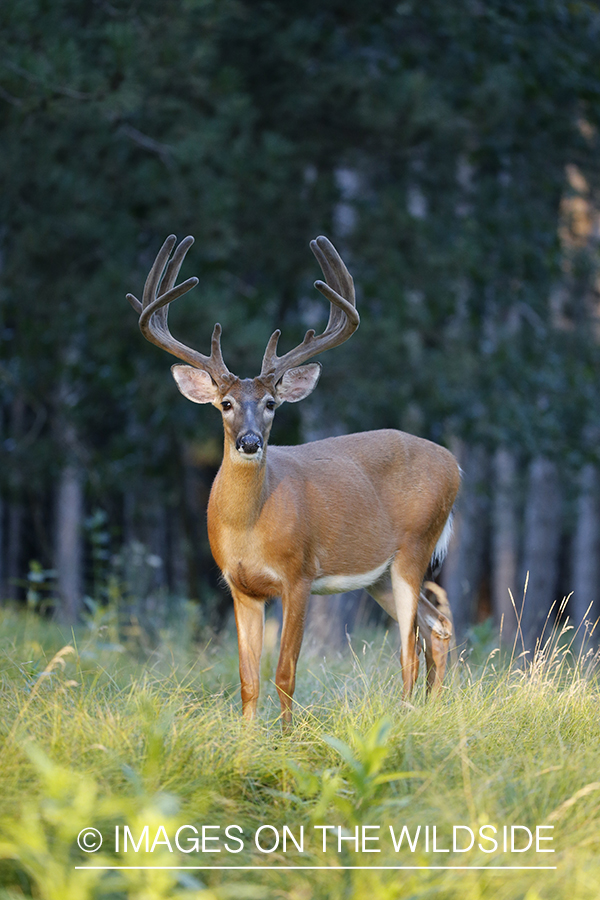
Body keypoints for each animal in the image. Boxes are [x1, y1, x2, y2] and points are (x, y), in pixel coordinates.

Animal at [127, 234, 460, 724]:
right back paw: (431, 711)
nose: (249, 441)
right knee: (437, 627)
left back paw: (404, 717)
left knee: (409, 650)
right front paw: (247, 737)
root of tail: (454, 464)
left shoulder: (298, 574)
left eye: (271, 403)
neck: (248, 526)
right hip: (379, 576)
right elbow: (248, 680)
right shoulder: (239, 585)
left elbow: (285, 673)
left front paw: (286, 737)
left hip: (414, 548)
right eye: (225, 403)